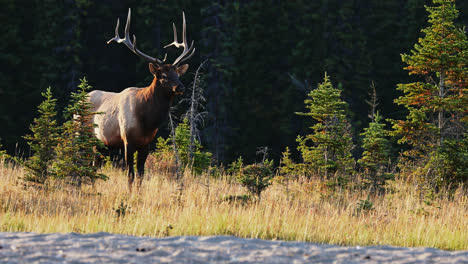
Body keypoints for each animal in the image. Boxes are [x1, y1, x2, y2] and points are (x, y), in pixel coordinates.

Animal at [87, 7, 195, 190]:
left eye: (177, 74)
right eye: (163, 76)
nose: (180, 87)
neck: (147, 120)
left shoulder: (146, 144)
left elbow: (141, 175)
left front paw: (138, 193)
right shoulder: (127, 141)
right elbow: (130, 175)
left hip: (100, 142)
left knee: (94, 166)